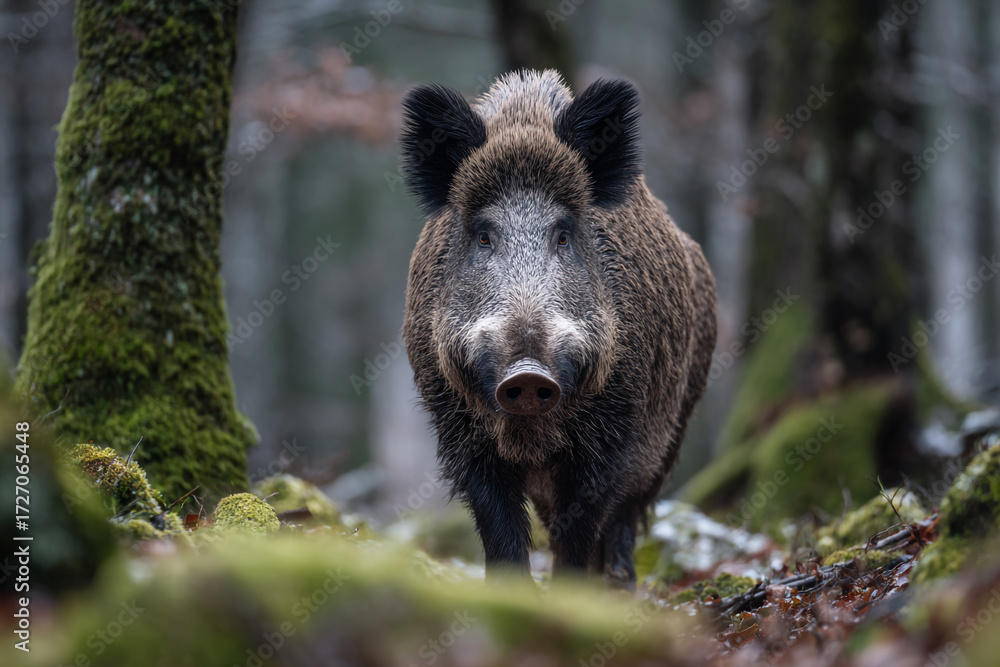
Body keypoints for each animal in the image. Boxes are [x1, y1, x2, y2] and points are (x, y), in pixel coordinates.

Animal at [400, 70, 717, 586]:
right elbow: (501, 529)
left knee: (625, 518)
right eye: (483, 235)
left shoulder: (614, 429)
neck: (531, 432)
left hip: (670, 434)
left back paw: (620, 588)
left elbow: (582, 527)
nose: (528, 373)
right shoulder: (458, 429)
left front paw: (573, 595)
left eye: (563, 235)